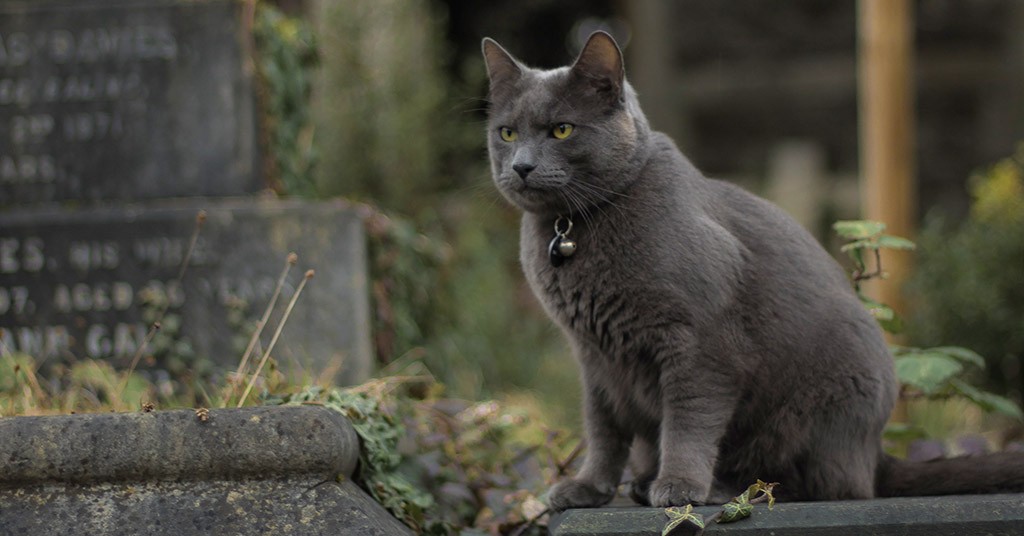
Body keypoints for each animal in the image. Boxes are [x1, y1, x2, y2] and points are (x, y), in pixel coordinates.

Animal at [483, 31, 1024, 510]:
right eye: (507, 133)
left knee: (821, 484)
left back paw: (716, 488)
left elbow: (687, 420)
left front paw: (679, 486)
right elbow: (603, 428)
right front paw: (588, 488)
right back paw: (640, 483)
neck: (572, 226)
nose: (522, 166)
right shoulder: (595, 358)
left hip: (825, 406)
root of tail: (875, 455)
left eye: (562, 129)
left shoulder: (701, 345)